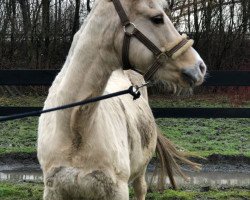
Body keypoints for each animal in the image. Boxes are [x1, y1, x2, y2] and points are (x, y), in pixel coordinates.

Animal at [37, 0, 205, 198]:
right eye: (157, 18)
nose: (199, 67)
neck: (74, 127)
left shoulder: (117, 190)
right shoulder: (54, 190)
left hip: (140, 169)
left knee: (141, 188)